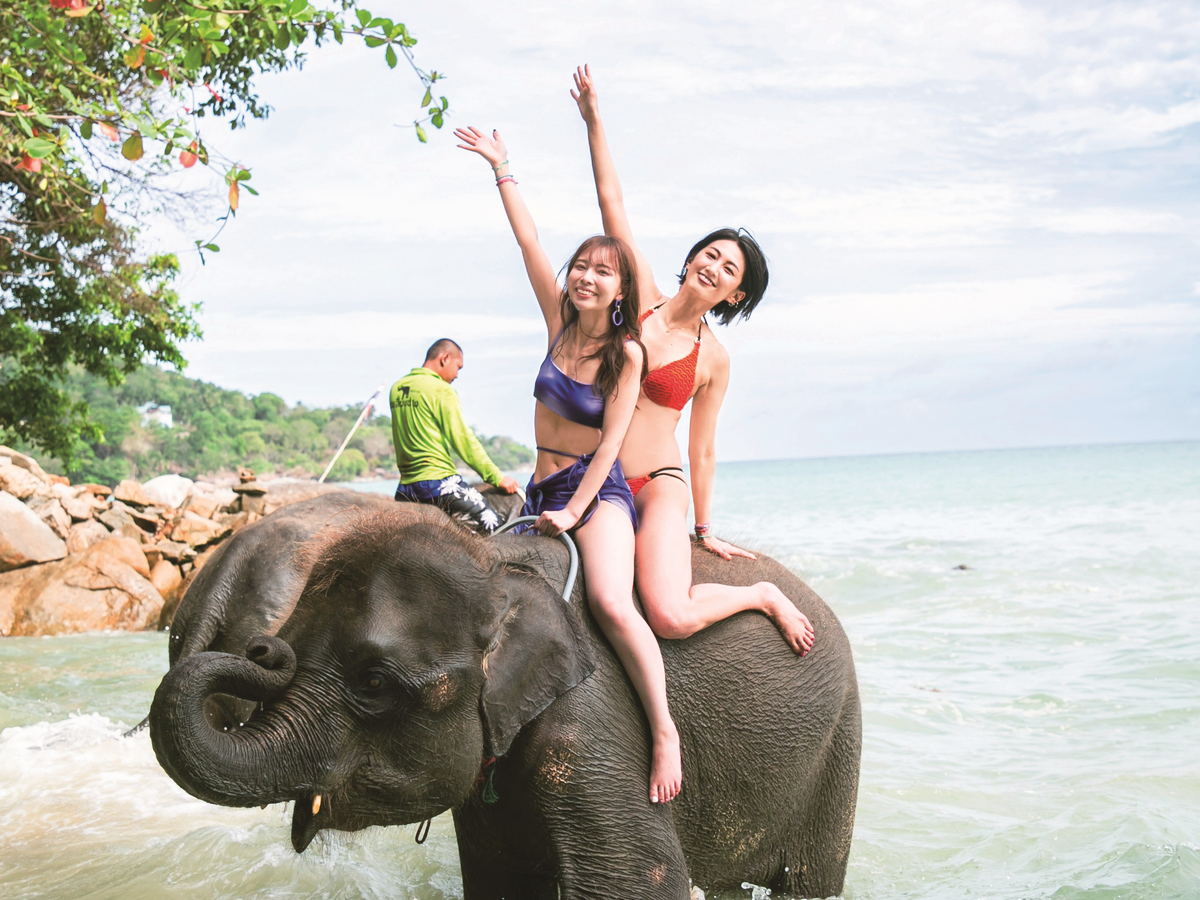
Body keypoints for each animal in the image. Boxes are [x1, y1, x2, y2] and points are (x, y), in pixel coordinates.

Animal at [150, 494, 859, 900]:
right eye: (287, 644)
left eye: (374, 683)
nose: (262, 650)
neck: (494, 565)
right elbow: (501, 882)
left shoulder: (590, 717)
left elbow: (639, 882)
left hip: (838, 751)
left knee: (808, 885)